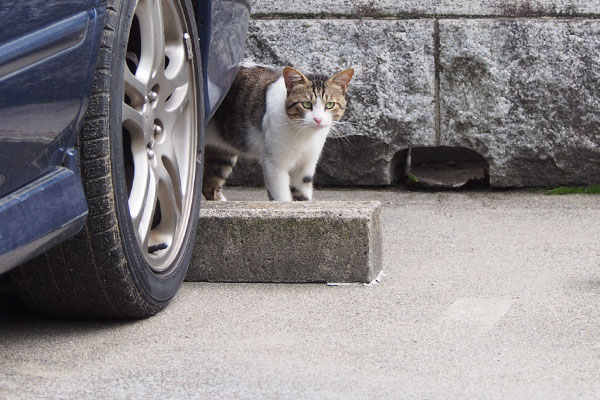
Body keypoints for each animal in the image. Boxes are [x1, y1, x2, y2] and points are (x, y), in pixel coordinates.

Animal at [203, 64, 352, 202]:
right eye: (306, 104)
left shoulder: (306, 166)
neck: (305, 134)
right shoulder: (275, 165)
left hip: (223, 154)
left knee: (210, 186)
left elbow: (302, 196)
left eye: (330, 105)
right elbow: (282, 197)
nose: (318, 119)